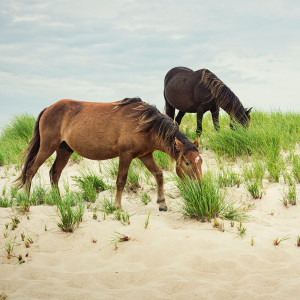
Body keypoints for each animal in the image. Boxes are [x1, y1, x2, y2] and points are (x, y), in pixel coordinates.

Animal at [17, 98, 204, 211]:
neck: (145, 124)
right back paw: (26, 201)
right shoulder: (126, 155)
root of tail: (49, 108)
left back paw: (60, 203)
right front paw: (118, 207)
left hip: (64, 150)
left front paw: (162, 203)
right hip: (47, 147)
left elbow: (158, 174)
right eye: (187, 163)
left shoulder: (145, 155)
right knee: (31, 170)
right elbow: (121, 180)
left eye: (200, 162)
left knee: (54, 174)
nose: (201, 186)